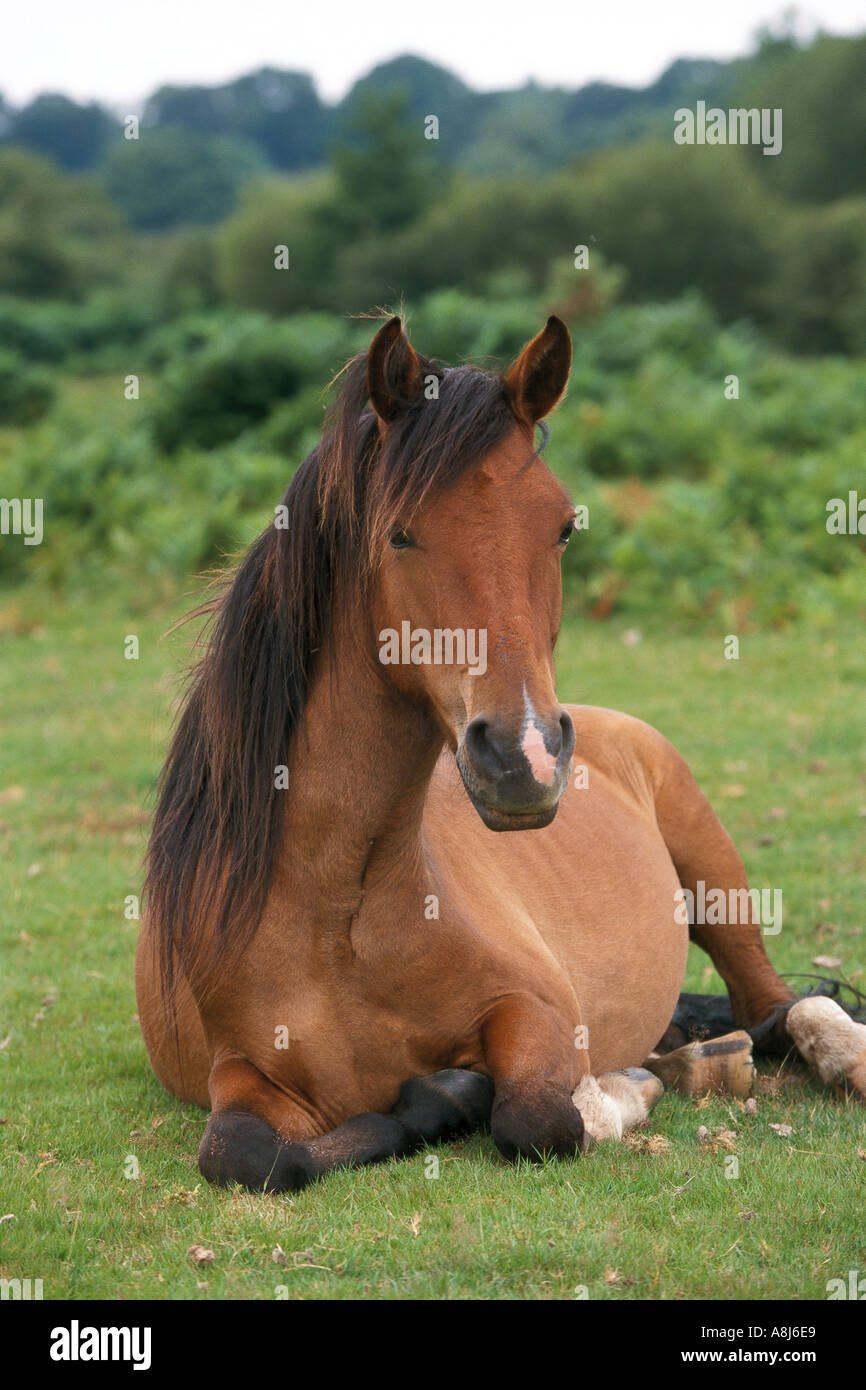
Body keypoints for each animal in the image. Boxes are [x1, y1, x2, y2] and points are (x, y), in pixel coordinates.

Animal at [136, 314, 866, 1191]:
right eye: (399, 534)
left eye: (563, 527)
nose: (527, 758)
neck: (338, 919)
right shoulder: (241, 1075)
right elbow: (250, 1155)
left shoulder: (537, 1011)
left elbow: (534, 1117)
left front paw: (597, 1093)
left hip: (718, 884)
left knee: (781, 1008)